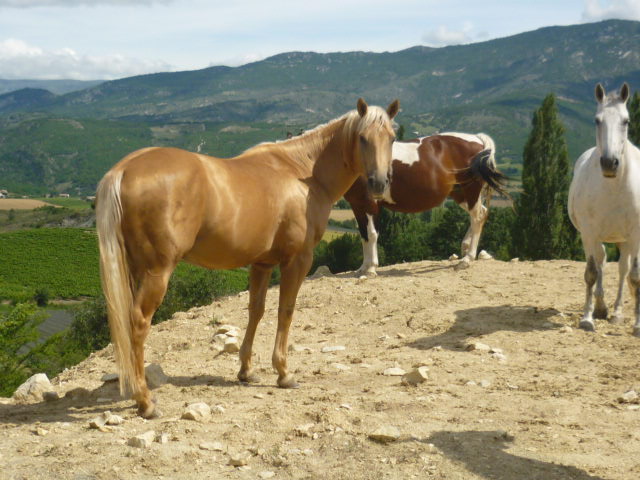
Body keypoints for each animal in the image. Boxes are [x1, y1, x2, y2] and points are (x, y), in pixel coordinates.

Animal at [95, 98, 398, 416]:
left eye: (391, 137)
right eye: (362, 138)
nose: (379, 184)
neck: (302, 172)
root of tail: (124, 169)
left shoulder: (262, 263)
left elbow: (256, 310)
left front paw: (246, 370)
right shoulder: (297, 260)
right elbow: (286, 311)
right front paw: (283, 373)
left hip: (134, 270)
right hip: (157, 272)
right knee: (138, 323)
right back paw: (145, 401)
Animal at [342, 131, 508, 276]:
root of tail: (478, 139)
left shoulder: (371, 203)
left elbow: (372, 234)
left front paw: (371, 269)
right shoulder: (357, 205)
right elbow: (364, 234)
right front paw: (363, 268)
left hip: (471, 189)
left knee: (477, 217)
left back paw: (467, 259)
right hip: (460, 193)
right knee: (482, 213)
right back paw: (465, 248)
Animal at [568, 81, 640, 338]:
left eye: (626, 121)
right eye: (597, 120)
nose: (609, 163)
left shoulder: (635, 235)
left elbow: (634, 276)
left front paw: (637, 325)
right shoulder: (589, 233)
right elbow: (591, 272)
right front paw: (588, 318)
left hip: (624, 240)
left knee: (622, 270)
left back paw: (617, 312)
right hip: (596, 237)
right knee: (600, 262)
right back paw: (601, 308)